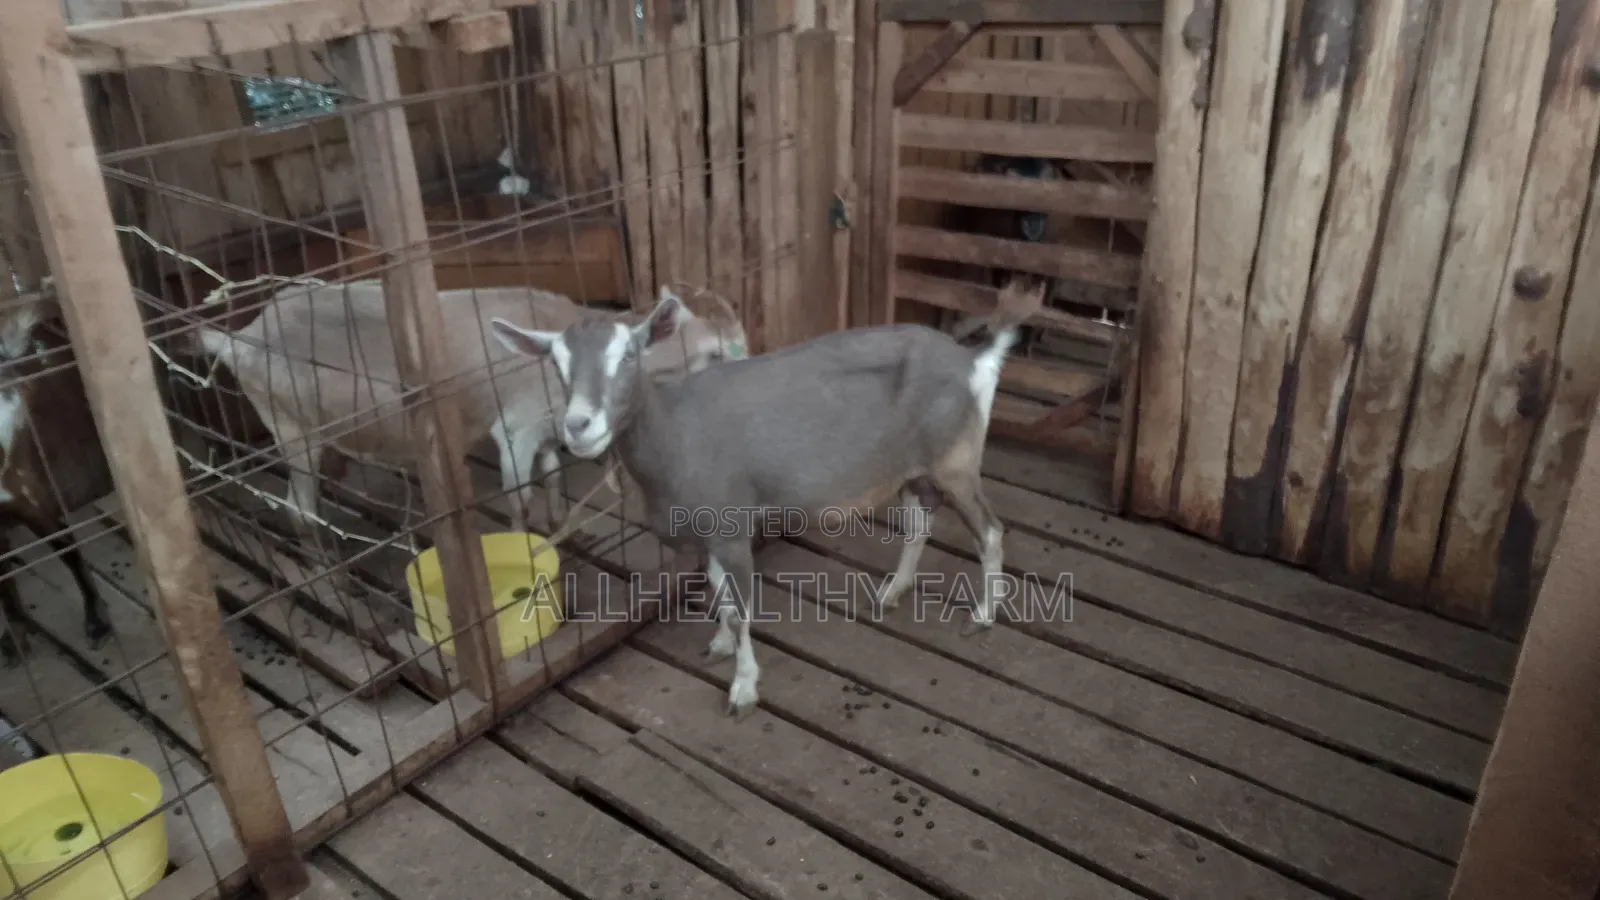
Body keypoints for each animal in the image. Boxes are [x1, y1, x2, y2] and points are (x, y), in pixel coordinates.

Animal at [192, 282, 745, 540]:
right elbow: (519, 498)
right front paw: (525, 550)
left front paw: (559, 526)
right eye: (716, 354)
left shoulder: (547, 428)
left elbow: (552, 477)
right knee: (299, 509)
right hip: (289, 424)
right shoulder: (515, 428)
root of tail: (240, 338)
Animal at [488, 278, 1045, 719]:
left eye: (629, 354)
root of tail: (975, 360)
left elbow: (741, 609)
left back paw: (983, 615)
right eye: (555, 364)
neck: (676, 431)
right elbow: (719, 594)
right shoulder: (708, 532)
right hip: (915, 466)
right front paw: (718, 645)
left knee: (989, 530)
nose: (579, 427)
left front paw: (743, 688)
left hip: (957, 459)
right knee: (919, 522)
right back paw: (893, 592)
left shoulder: (731, 526)